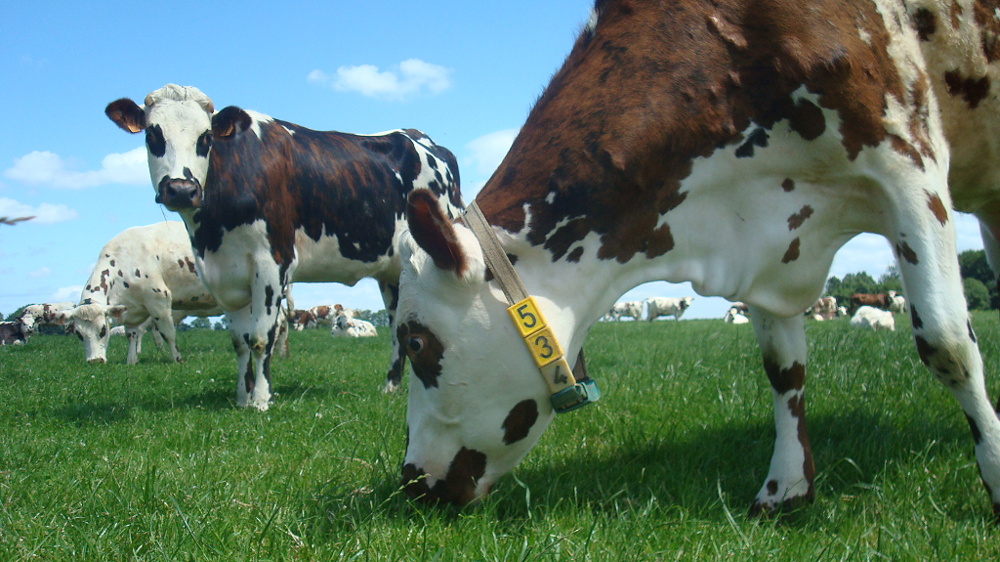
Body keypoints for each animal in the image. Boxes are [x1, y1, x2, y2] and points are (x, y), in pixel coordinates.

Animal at [57, 222, 223, 364]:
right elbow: (132, 335)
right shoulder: (131, 309)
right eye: (79, 334)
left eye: (103, 330)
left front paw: (177, 359)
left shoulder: (159, 300)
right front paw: (131, 361)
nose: (95, 361)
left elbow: (168, 333)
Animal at [106, 84, 463, 409]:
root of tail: (421, 138)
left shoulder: (272, 262)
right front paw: (242, 397)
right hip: (391, 271)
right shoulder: (227, 274)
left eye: (205, 137)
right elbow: (239, 342)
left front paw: (261, 400)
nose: (181, 189)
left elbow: (260, 338)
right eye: (152, 134)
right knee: (396, 326)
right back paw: (390, 386)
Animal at [392, 0, 1000, 517]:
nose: (411, 481)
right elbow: (783, 367)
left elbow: (946, 342)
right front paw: (786, 486)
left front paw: (994, 473)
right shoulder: (768, 241)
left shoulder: (909, 165)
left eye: (415, 343)